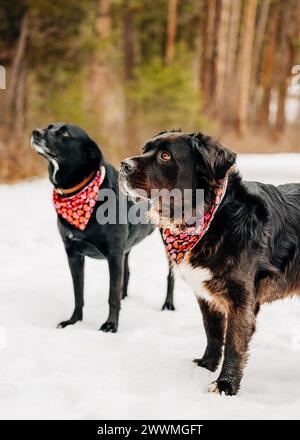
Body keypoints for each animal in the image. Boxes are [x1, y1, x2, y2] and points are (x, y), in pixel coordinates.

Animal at [30, 122, 175, 332]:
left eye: (65, 133)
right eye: (50, 126)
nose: (35, 132)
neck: (79, 191)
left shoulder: (113, 254)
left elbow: (111, 296)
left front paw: (111, 325)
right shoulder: (73, 254)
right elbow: (78, 293)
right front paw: (73, 321)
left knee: (170, 276)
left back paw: (168, 305)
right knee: (127, 272)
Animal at [120, 131, 300, 396]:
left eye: (165, 156)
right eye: (145, 149)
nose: (124, 165)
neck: (210, 218)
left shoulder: (242, 299)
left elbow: (234, 343)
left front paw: (226, 385)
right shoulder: (206, 294)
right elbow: (213, 331)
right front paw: (207, 365)